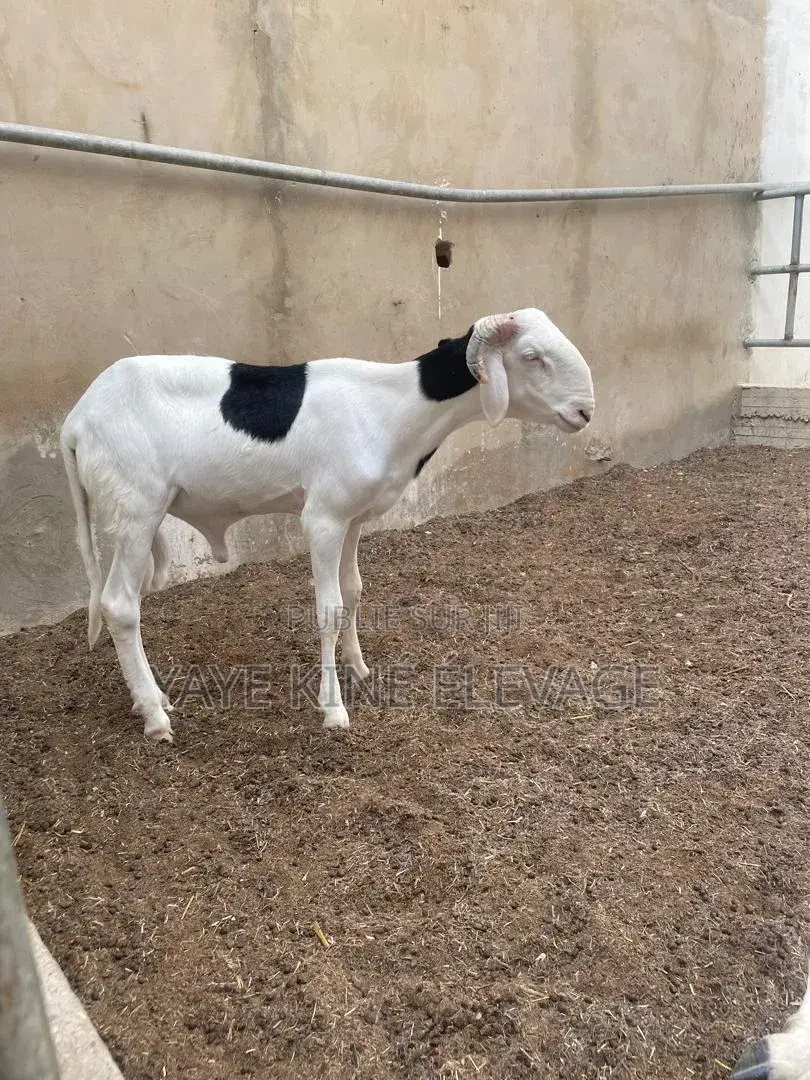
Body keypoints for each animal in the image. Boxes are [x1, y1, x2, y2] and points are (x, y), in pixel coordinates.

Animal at [60, 307, 595, 742]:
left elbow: (354, 590)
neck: (390, 409)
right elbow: (329, 609)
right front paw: (334, 709)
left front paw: (359, 668)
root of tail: (76, 419)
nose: (585, 411)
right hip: (136, 510)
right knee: (119, 605)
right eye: (532, 356)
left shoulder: (354, 516)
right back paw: (155, 716)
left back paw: (153, 698)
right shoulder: (322, 518)